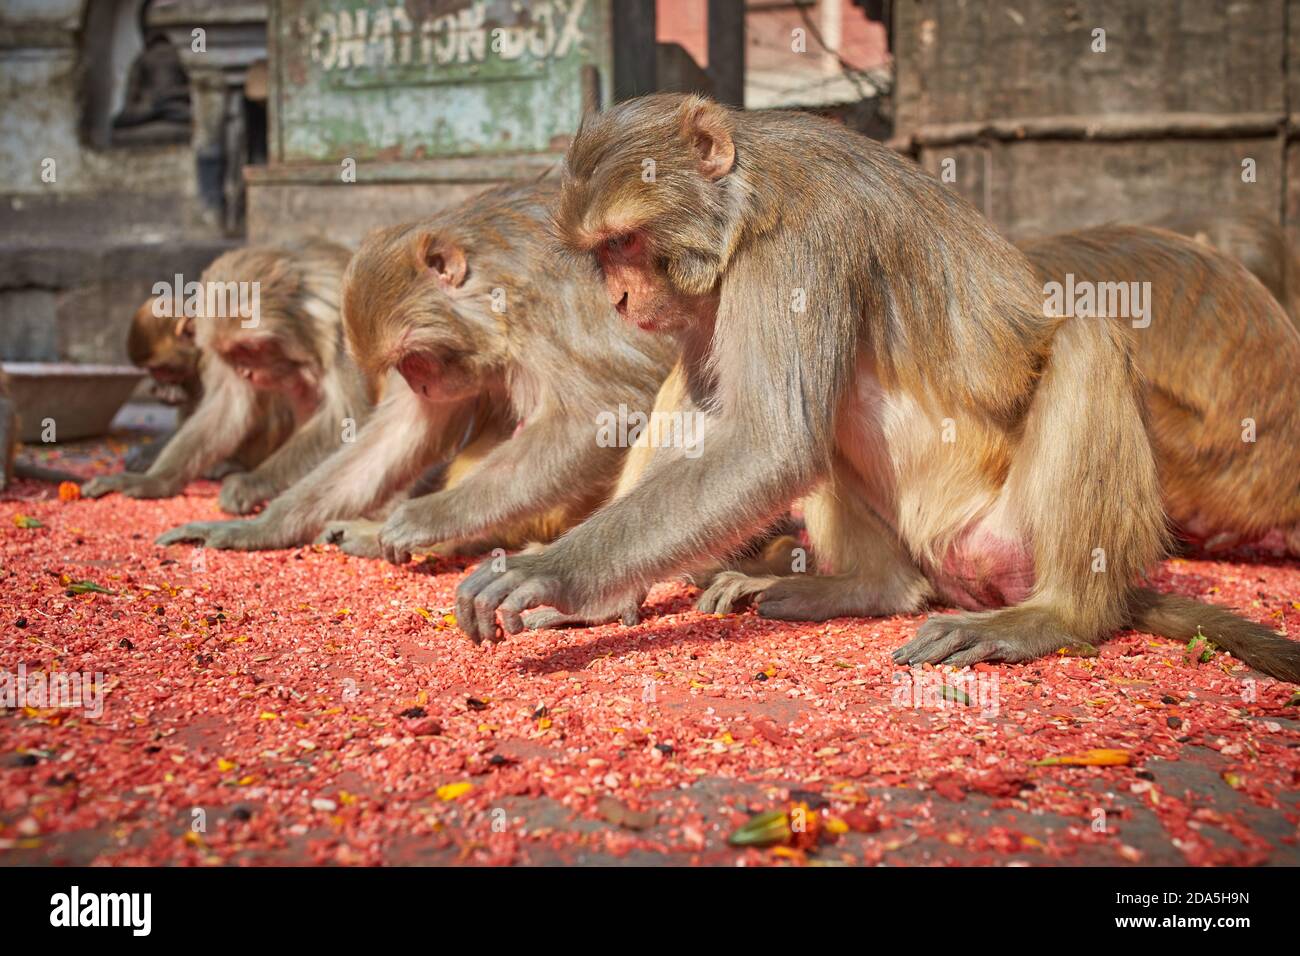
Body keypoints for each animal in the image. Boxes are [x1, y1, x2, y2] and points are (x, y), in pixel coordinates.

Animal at [83, 239, 366, 515]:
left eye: (248, 348)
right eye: (230, 354)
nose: (245, 372)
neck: (308, 324)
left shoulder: (343, 330)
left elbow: (346, 420)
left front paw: (251, 483)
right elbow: (229, 407)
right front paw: (153, 480)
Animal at [153, 178, 674, 570]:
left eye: (413, 357)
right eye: (403, 366)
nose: (420, 383)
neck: (501, 295)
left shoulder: (554, 307)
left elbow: (603, 415)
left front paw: (429, 517)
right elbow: (401, 433)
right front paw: (258, 528)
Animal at [455, 93, 1300, 685]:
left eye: (625, 242)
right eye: (600, 254)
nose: (620, 299)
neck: (746, 199)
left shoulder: (798, 244)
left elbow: (768, 444)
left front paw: (552, 571)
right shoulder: (711, 288)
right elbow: (712, 403)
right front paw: (600, 598)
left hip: (1001, 532)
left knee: (1086, 342)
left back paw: (1058, 614)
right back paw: (866, 589)